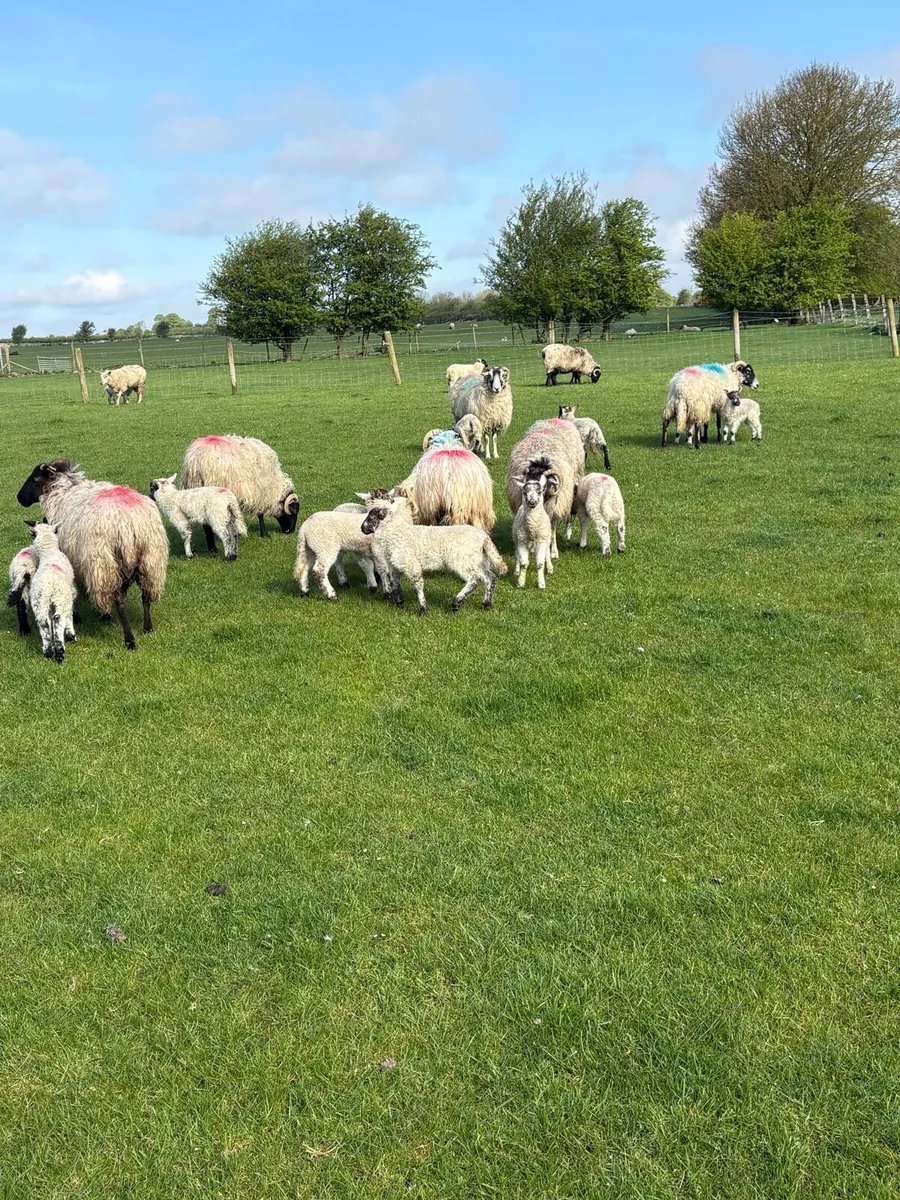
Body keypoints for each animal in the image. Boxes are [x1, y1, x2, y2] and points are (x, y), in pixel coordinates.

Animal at [23, 520, 78, 662]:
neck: (49, 553)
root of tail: (49, 584)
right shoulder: (70, 593)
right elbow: (69, 615)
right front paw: (70, 634)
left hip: (39, 601)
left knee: (44, 623)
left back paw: (48, 652)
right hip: (61, 597)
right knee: (58, 619)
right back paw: (60, 652)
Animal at [361, 495, 507, 615]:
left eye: (371, 518)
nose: (362, 528)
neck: (395, 532)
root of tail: (483, 538)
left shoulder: (410, 564)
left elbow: (417, 586)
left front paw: (423, 610)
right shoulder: (396, 565)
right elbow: (395, 583)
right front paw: (399, 602)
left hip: (462, 560)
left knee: (475, 579)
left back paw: (456, 603)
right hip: (478, 560)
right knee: (489, 577)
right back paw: (486, 604)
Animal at [506, 419, 585, 561]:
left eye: (543, 488)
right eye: (525, 487)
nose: (532, 502)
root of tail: (555, 419)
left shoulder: (554, 507)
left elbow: (552, 530)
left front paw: (553, 552)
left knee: (570, 514)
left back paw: (567, 533)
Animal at [511, 460, 559, 589]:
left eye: (541, 490)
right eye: (524, 492)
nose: (532, 501)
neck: (532, 527)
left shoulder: (542, 541)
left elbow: (540, 564)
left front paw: (541, 584)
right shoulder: (522, 541)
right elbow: (523, 563)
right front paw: (521, 582)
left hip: (546, 538)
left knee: (547, 553)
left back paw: (550, 568)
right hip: (516, 537)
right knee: (517, 554)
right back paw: (516, 571)